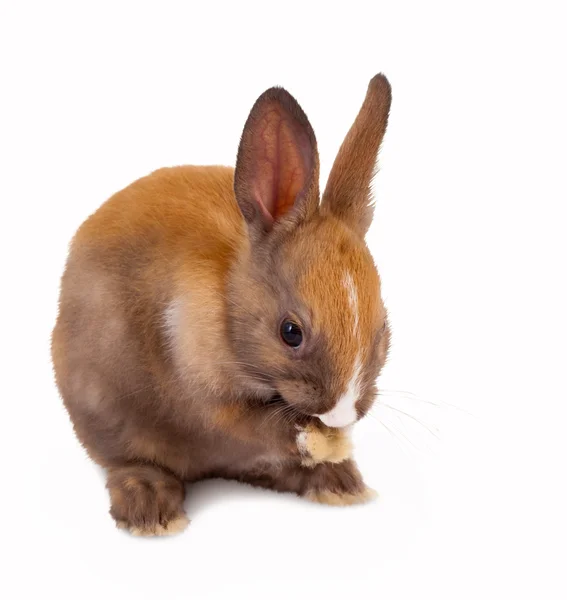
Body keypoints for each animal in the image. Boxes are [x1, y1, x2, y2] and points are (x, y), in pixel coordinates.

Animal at [51, 72, 392, 536]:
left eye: (382, 329)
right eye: (290, 332)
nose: (340, 414)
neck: (231, 303)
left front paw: (333, 451)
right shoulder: (206, 397)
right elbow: (253, 425)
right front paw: (316, 441)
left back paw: (338, 483)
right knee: (133, 462)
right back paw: (151, 510)